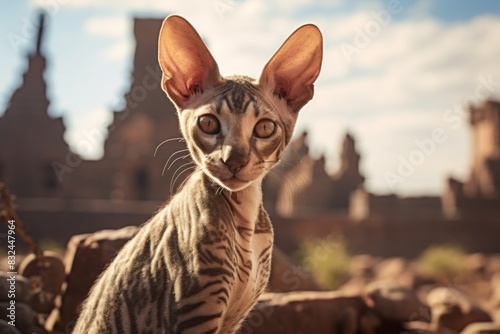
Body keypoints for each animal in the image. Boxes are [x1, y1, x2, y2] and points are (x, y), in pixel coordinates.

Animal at [73, 14, 324, 332]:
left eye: (265, 128)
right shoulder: (197, 311)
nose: (234, 160)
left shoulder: (232, 317)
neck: (245, 221)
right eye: (208, 123)